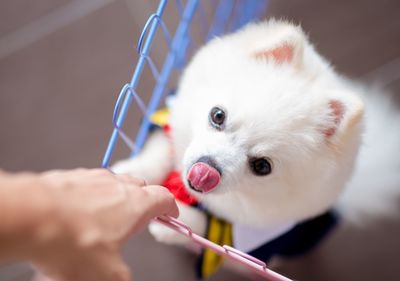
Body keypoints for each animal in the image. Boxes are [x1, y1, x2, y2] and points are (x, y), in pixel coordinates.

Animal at [112, 19, 400, 276]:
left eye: (262, 166)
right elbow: (164, 146)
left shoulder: (259, 243)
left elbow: (215, 240)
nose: (203, 171)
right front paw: (132, 174)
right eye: (218, 116)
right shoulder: (170, 115)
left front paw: (175, 217)